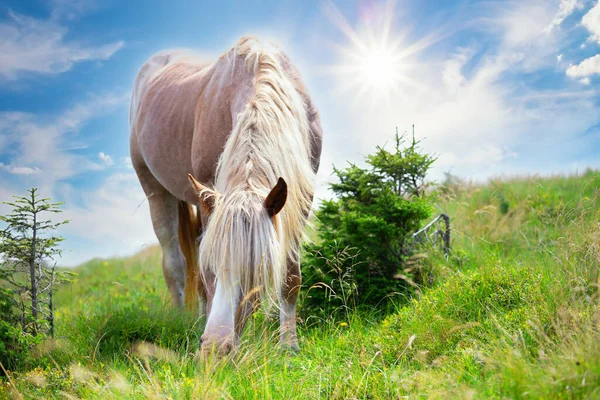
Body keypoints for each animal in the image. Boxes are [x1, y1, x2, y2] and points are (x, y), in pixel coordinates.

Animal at [128, 35, 322, 354]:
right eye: (213, 267)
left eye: (256, 268)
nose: (214, 349)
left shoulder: (300, 198)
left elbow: (290, 276)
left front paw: (288, 345)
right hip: (155, 190)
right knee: (175, 265)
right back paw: (183, 319)